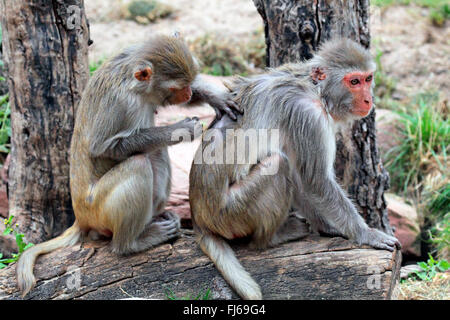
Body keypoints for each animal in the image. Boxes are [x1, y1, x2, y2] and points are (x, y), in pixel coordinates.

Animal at [17, 34, 241, 296]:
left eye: (188, 83)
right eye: (176, 88)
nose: (186, 94)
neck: (134, 85)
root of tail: (81, 217)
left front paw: (217, 98)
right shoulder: (118, 103)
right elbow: (103, 147)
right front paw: (181, 130)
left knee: (155, 153)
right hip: (98, 207)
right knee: (140, 163)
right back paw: (131, 243)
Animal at [189, 38, 400, 302]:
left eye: (368, 78)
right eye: (354, 82)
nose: (368, 100)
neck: (317, 92)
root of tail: (198, 217)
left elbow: (303, 179)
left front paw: (328, 227)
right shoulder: (308, 116)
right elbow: (316, 181)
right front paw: (366, 234)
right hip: (229, 213)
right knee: (279, 166)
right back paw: (271, 238)